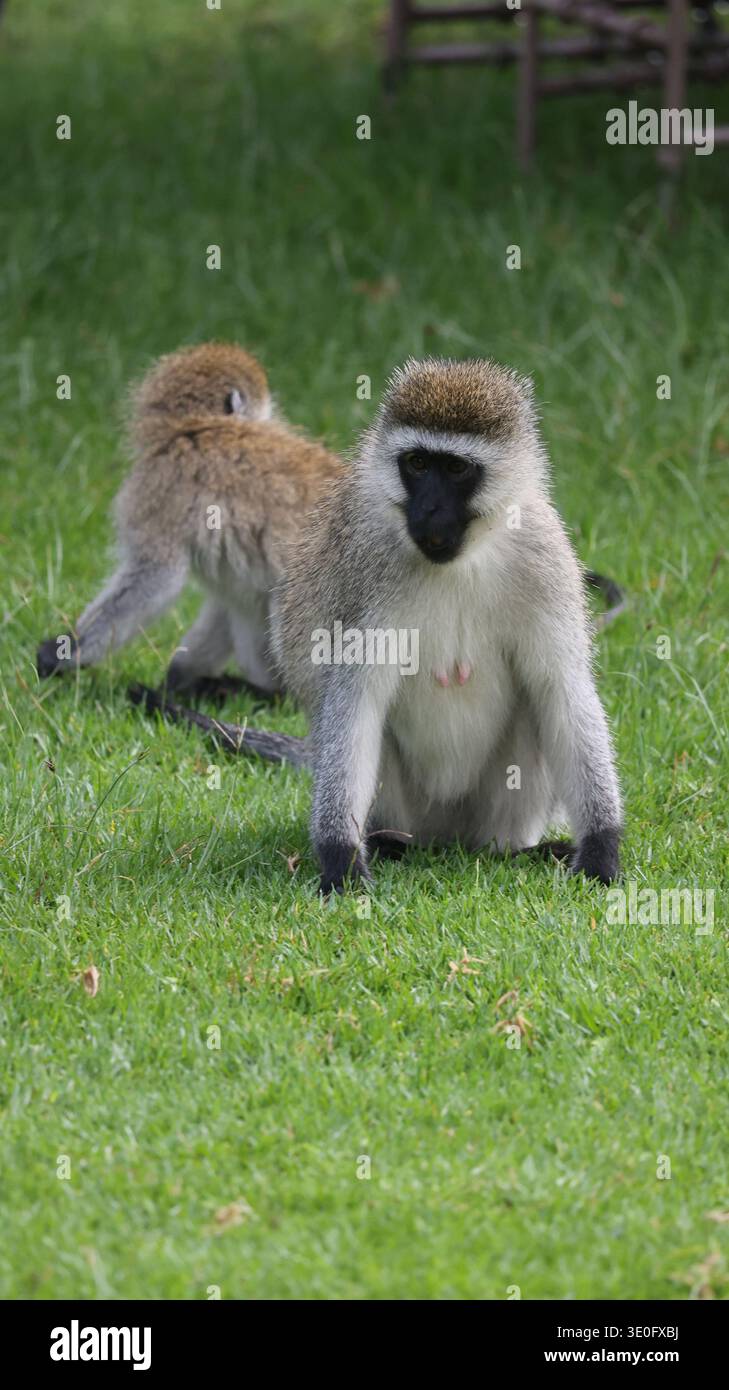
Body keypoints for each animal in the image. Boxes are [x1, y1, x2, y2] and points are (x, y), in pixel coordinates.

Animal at [36, 342, 343, 698]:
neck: (188, 428)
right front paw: (178, 677)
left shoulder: (157, 488)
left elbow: (156, 575)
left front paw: (67, 653)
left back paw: (270, 695)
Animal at [130, 357, 625, 893]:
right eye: (417, 464)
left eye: (455, 468)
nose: (428, 508)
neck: (460, 560)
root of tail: (445, 841)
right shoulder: (362, 568)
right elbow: (357, 698)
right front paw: (340, 860)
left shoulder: (543, 554)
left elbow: (562, 689)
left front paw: (601, 850)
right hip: (407, 809)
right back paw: (387, 844)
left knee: (538, 712)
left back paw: (518, 851)